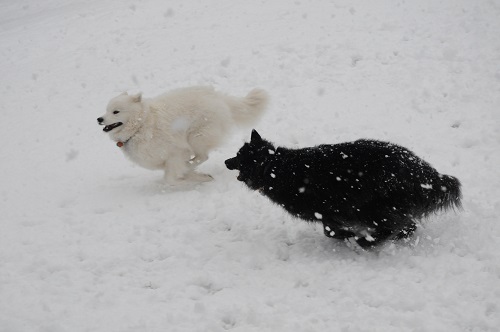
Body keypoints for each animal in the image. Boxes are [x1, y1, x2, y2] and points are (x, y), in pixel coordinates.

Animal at [98, 86, 270, 184]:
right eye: (106, 110)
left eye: (116, 112)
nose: (99, 119)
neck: (140, 125)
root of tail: (219, 98)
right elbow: (176, 174)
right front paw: (199, 176)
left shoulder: (176, 151)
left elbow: (170, 179)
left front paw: (190, 176)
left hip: (195, 137)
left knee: (203, 156)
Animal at [226, 130, 460, 249]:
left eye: (238, 156)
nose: (226, 161)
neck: (274, 167)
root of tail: (425, 172)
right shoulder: (330, 214)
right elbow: (331, 231)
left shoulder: (330, 210)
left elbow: (331, 232)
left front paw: (350, 236)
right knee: (407, 225)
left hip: (375, 207)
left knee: (397, 226)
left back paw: (368, 241)